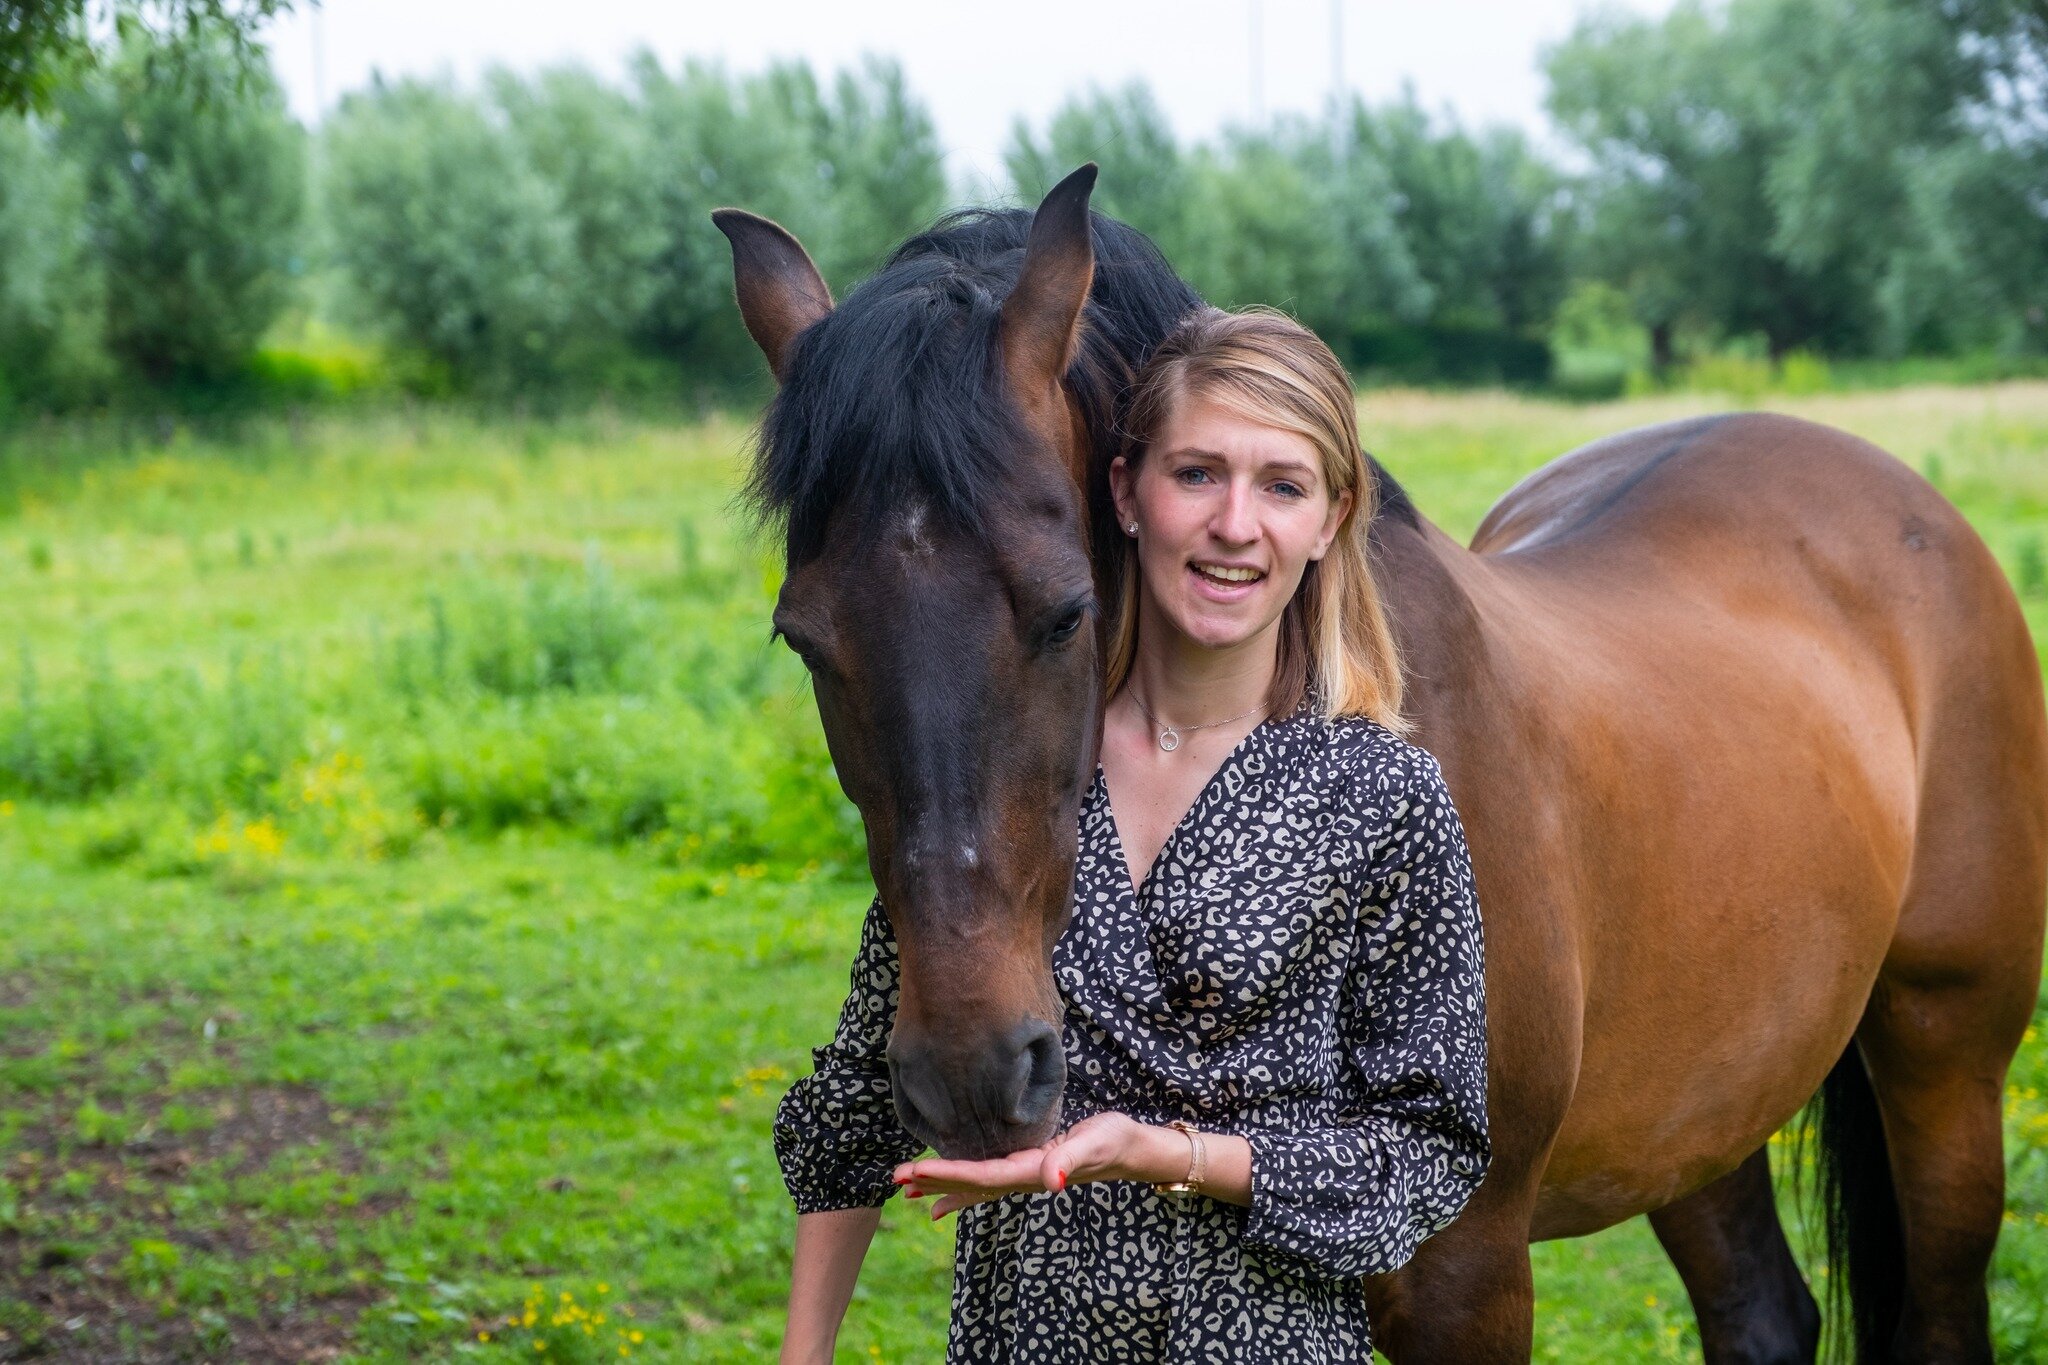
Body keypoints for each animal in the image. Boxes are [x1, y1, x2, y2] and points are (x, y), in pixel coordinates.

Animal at [720, 165, 2048, 1358]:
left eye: (1062, 614)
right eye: (803, 640)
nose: (973, 1074)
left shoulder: (1462, 1264)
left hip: (1942, 1054)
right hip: (1699, 1101)